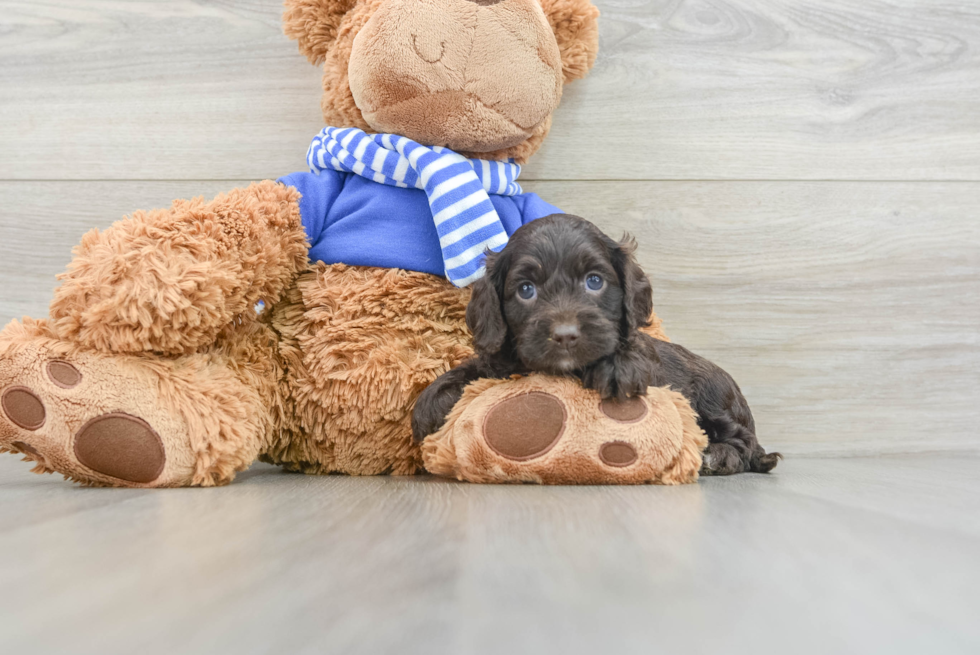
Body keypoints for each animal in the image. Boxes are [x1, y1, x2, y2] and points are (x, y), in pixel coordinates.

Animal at [414, 215, 780, 476]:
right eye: (526, 289)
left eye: (594, 281)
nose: (564, 335)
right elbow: (479, 367)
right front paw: (433, 400)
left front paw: (616, 367)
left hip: (714, 394)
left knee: (745, 442)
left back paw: (718, 456)